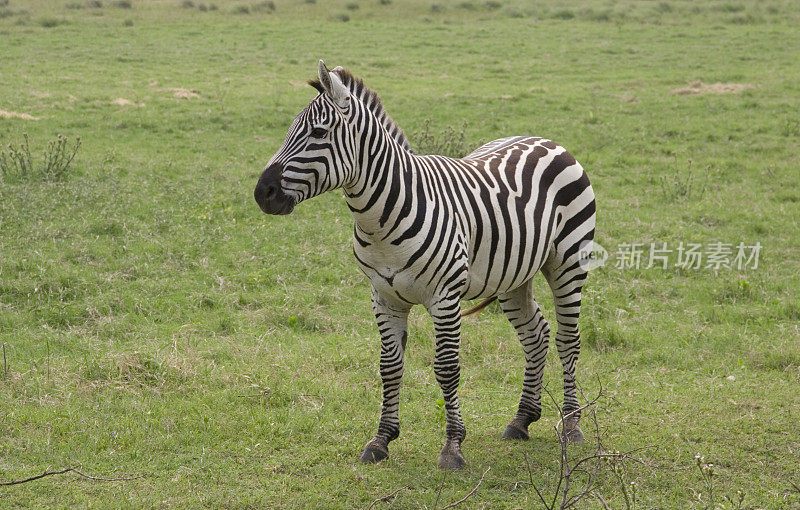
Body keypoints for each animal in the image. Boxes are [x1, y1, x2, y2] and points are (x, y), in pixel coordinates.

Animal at [253, 60, 596, 470]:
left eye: (319, 133)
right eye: (290, 130)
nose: (262, 193)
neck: (380, 218)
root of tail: (546, 140)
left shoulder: (444, 297)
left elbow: (446, 368)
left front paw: (452, 447)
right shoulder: (383, 297)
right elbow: (389, 367)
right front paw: (381, 440)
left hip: (569, 261)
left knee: (567, 339)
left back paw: (572, 425)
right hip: (512, 274)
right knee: (536, 334)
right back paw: (522, 419)